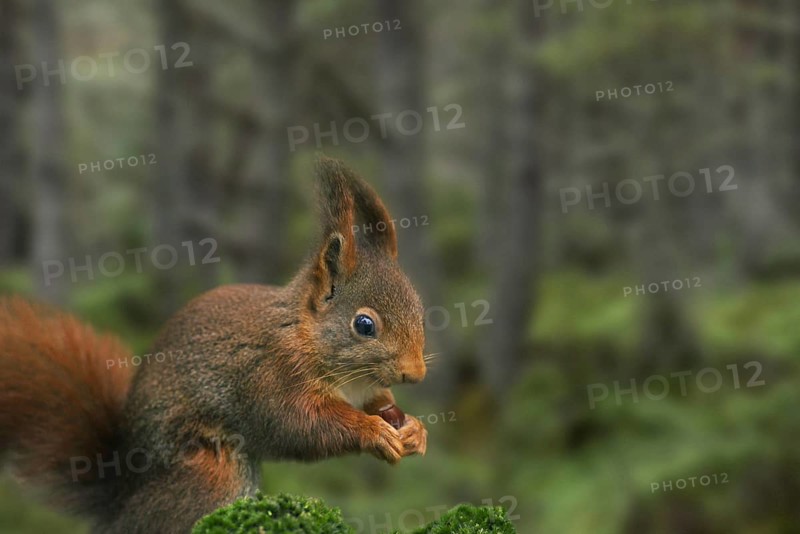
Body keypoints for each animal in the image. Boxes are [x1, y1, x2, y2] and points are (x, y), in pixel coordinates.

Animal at [0, 156, 428, 533]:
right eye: (364, 324)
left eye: (421, 312)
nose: (416, 373)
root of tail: (124, 500)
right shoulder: (271, 376)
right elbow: (300, 425)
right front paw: (372, 432)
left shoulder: (365, 390)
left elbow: (380, 404)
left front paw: (415, 430)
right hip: (211, 470)